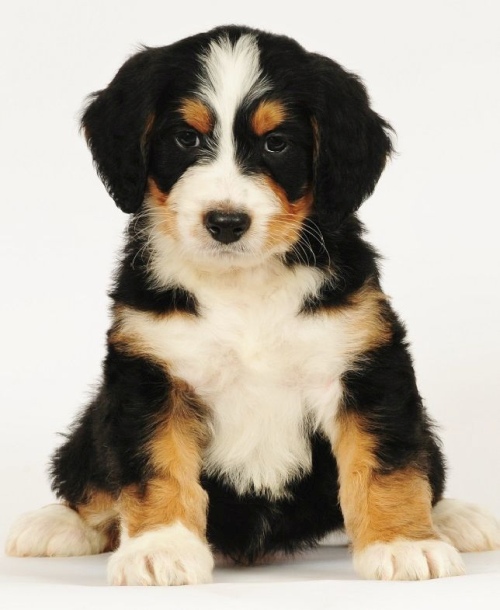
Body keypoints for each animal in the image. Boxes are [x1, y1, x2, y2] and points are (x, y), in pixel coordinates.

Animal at [4, 25, 500, 584]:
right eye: (186, 138)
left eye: (276, 143)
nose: (225, 222)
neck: (243, 286)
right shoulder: (150, 375)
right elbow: (154, 466)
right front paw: (160, 549)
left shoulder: (366, 366)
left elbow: (388, 462)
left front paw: (403, 544)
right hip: (97, 416)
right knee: (88, 477)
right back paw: (57, 524)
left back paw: (455, 517)